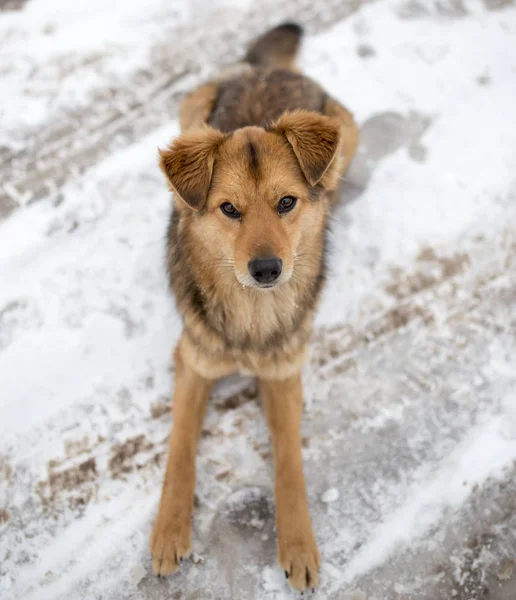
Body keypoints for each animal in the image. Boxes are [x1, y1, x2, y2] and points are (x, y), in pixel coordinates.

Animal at [149, 22, 358, 592]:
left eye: (287, 203)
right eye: (229, 210)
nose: (267, 269)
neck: (252, 316)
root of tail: (266, 69)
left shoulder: (285, 375)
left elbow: (290, 463)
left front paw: (299, 543)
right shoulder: (191, 361)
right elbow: (180, 451)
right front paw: (169, 530)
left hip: (347, 129)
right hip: (191, 111)